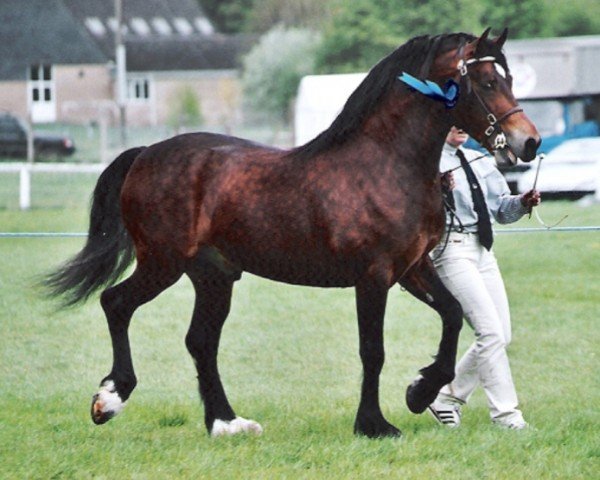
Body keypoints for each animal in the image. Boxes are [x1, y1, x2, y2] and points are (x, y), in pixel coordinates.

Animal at [45, 28, 540, 436]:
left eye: (510, 78)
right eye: (488, 82)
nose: (528, 141)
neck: (385, 164)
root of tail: (147, 153)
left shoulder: (413, 268)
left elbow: (453, 315)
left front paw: (419, 392)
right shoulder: (374, 276)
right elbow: (372, 350)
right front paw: (374, 424)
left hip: (213, 275)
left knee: (200, 341)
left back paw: (226, 423)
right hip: (161, 262)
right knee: (117, 303)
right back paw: (110, 399)